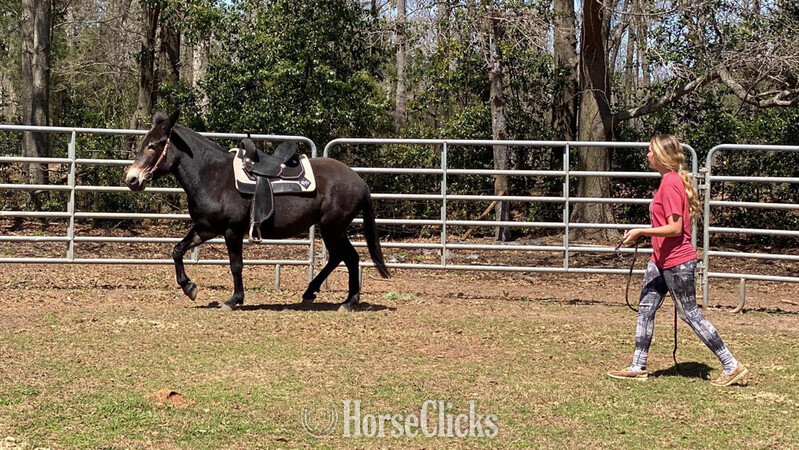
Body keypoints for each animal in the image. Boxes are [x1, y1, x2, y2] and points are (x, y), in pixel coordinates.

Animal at [123, 111, 390, 311]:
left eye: (153, 146)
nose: (132, 179)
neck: (213, 176)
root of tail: (359, 181)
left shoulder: (232, 230)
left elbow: (236, 264)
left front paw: (234, 300)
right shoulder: (206, 229)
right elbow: (177, 250)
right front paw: (189, 288)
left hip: (333, 228)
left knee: (347, 257)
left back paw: (348, 301)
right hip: (333, 229)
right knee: (340, 257)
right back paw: (315, 293)